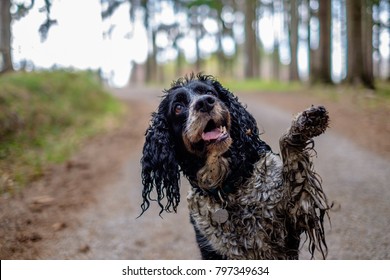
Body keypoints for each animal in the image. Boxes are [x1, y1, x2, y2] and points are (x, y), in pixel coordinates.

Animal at [139, 73, 330, 260]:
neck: (228, 185)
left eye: (210, 92)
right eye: (178, 107)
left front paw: (306, 122)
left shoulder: (297, 214)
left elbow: (289, 151)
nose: (205, 102)